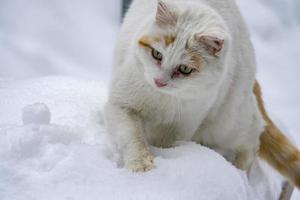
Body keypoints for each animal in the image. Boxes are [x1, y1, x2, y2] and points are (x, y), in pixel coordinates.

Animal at [103, 0, 300, 188]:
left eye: (185, 69)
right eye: (156, 54)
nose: (159, 81)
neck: (163, 98)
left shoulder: (181, 124)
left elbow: (165, 143)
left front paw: (161, 155)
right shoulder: (122, 103)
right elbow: (131, 136)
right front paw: (140, 165)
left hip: (228, 123)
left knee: (253, 136)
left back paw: (241, 169)